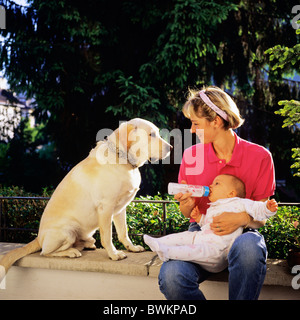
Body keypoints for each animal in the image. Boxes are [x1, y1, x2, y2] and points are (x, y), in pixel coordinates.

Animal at [0, 118, 171, 282]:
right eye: (151, 135)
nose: (171, 148)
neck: (121, 159)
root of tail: (38, 237)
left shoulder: (120, 209)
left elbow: (124, 232)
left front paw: (132, 247)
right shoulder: (106, 208)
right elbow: (107, 236)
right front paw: (114, 254)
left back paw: (86, 245)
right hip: (67, 231)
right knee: (45, 252)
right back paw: (71, 251)